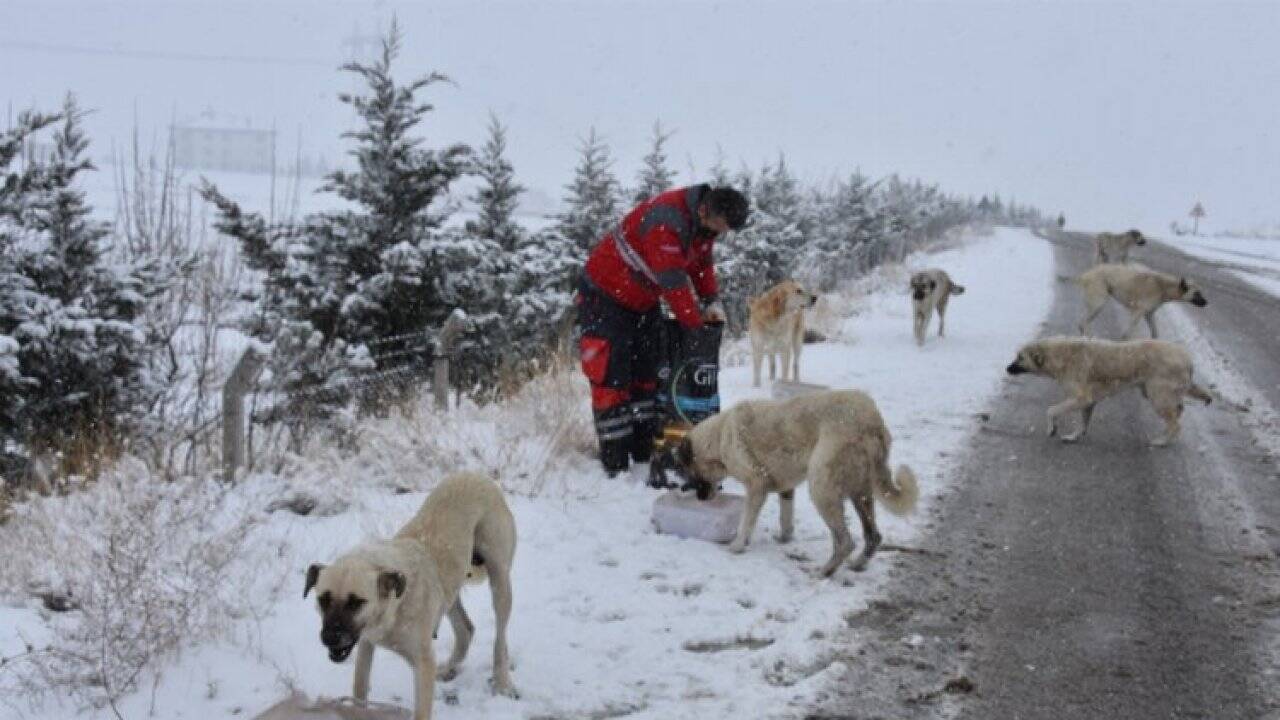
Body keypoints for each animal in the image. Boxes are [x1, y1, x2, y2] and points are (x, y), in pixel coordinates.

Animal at [302, 471, 517, 717]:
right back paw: (449, 669)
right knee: (466, 630)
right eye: (323, 600)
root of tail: (475, 475)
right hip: (449, 591)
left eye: (356, 602)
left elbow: (422, 710)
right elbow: (359, 687)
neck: (395, 602)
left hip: (500, 583)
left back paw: (503, 683)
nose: (330, 637)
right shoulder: (366, 642)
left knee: (500, 641)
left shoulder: (423, 663)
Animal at [1008, 335, 1208, 443]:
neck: (1061, 356)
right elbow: (1083, 423)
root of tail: (1188, 359)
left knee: (1176, 424)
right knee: (1177, 412)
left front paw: (1052, 429)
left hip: (1158, 396)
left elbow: (1051, 410)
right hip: (1158, 394)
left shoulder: (1080, 398)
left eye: (1020, 357)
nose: (1007, 369)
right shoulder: (1088, 402)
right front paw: (1074, 437)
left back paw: (1161, 441)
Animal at [1075, 263, 1203, 338]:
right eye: (1197, 293)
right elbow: (1128, 332)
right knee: (1084, 322)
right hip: (1098, 303)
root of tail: (1085, 275)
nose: (1205, 302)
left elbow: (1155, 332)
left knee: (1081, 323)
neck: (1163, 287)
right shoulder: (1138, 311)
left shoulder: (1149, 314)